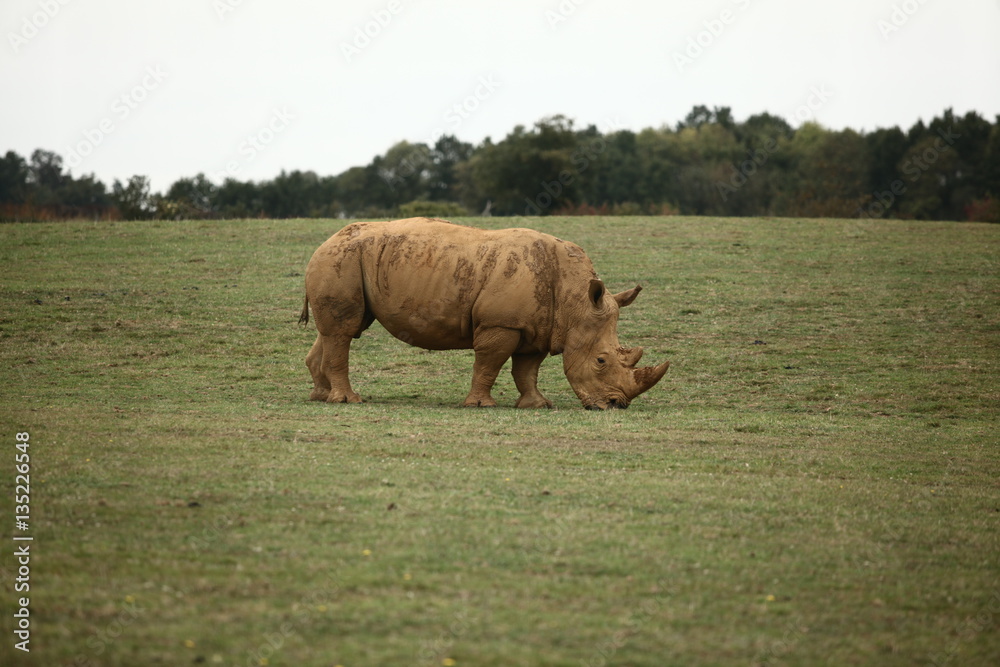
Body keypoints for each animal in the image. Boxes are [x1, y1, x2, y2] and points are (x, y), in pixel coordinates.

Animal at [299, 217, 669, 410]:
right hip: (341, 259)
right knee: (344, 331)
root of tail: (324, 242)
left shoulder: (537, 327)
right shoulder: (501, 323)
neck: (576, 301)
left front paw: (537, 405)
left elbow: (526, 370)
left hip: (350, 259)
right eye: (601, 361)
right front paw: (480, 406)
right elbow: (490, 363)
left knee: (337, 331)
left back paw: (320, 396)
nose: (617, 405)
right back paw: (347, 401)